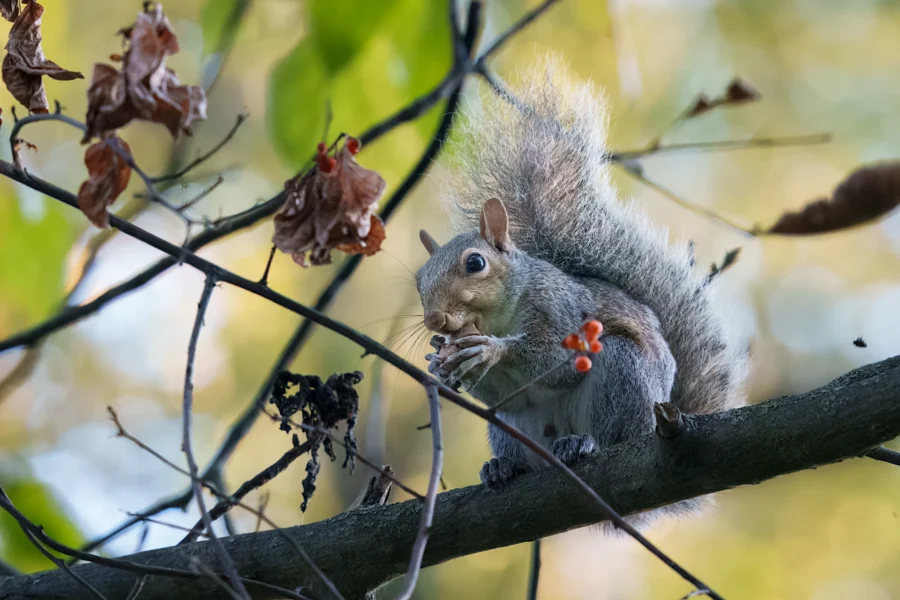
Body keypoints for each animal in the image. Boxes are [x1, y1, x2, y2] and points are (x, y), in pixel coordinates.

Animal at [414, 59, 747, 529]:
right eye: (419, 280)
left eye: (475, 263)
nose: (434, 320)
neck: (501, 316)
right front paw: (438, 360)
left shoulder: (561, 309)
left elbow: (553, 362)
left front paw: (492, 350)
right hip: (509, 427)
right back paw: (503, 467)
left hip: (621, 376)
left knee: (608, 434)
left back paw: (583, 444)